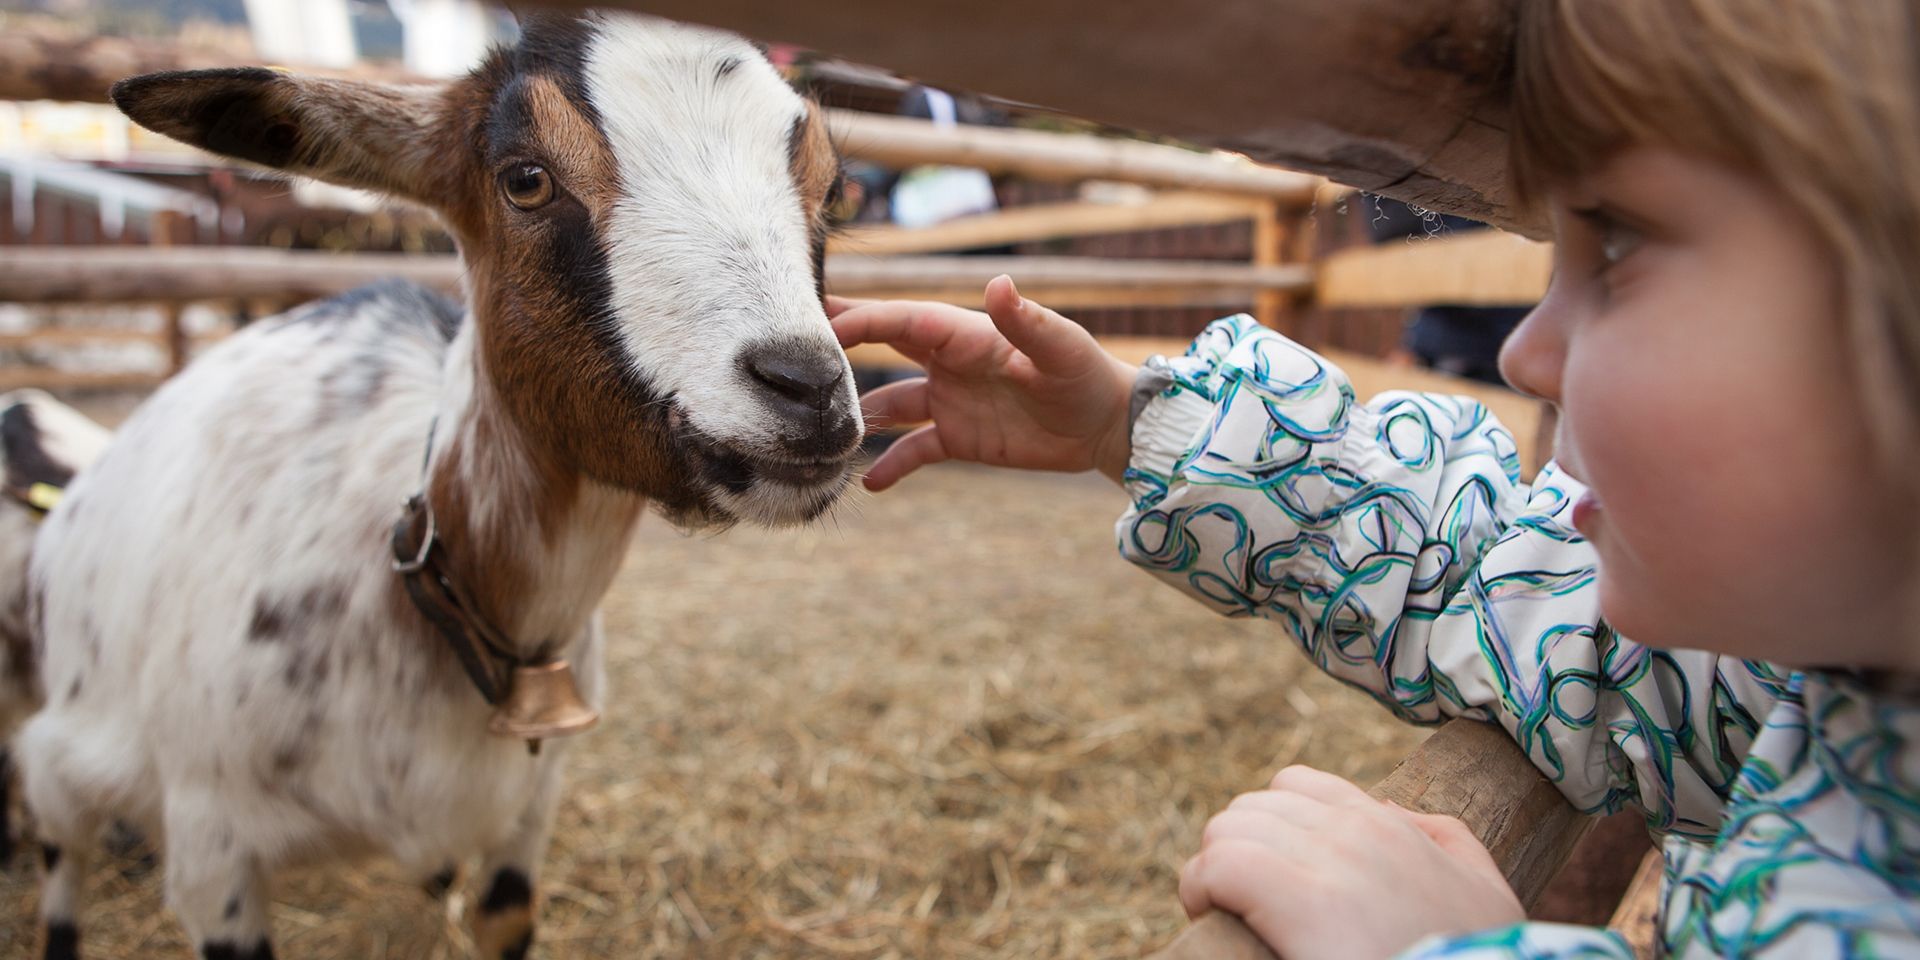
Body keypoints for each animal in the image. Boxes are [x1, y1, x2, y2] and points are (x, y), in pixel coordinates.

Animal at [18, 15, 860, 960]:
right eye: (525, 179)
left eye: (834, 190)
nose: (808, 389)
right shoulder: (212, 850)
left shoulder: (527, 816)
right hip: (63, 759)